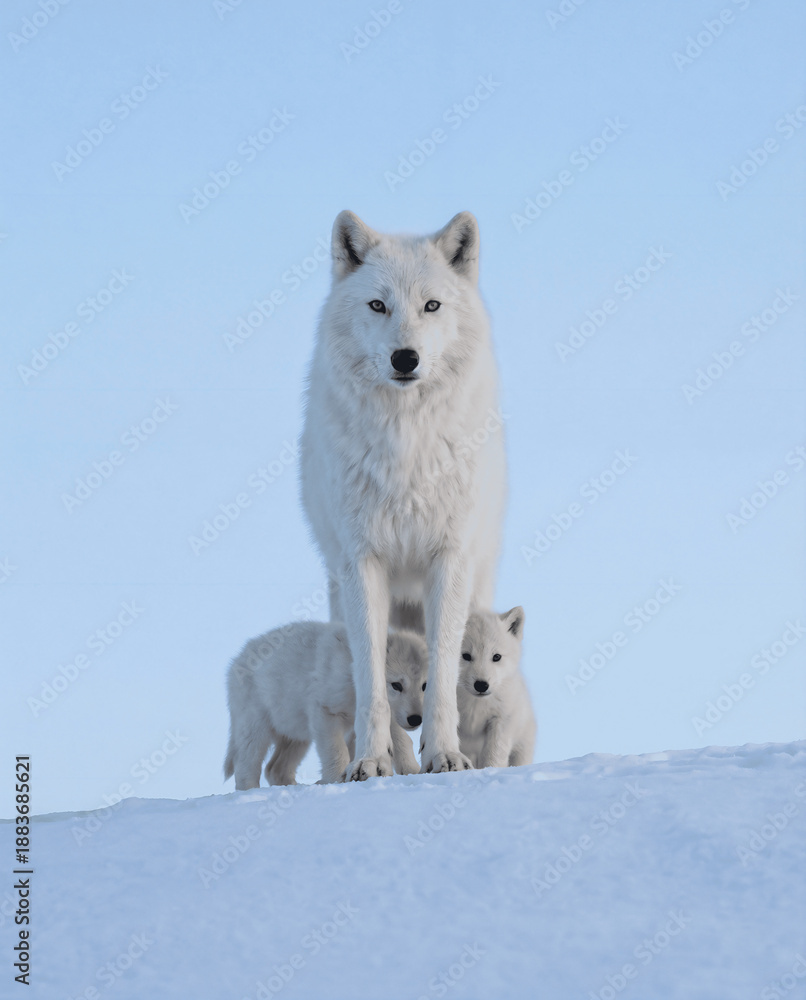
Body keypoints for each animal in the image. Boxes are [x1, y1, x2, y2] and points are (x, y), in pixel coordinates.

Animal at [224, 623, 427, 788]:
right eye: (396, 685)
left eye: (425, 685)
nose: (416, 719)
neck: (351, 674)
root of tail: (236, 662)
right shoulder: (325, 713)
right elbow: (336, 751)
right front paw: (337, 780)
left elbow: (400, 741)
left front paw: (414, 771)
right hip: (255, 731)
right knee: (246, 767)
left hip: (297, 736)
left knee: (275, 768)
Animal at [300, 210, 507, 779]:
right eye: (378, 305)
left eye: (431, 305)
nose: (405, 357)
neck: (407, 442)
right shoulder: (362, 563)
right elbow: (374, 680)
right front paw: (372, 761)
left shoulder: (448, 560)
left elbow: (443, 675)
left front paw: (445, 754)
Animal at [457, 607, 535, 768]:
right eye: (466, 656)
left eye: (496, 657)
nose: (481, 685)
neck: (476, 705)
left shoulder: (500, 719)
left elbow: (494, 754)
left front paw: (491, 770)